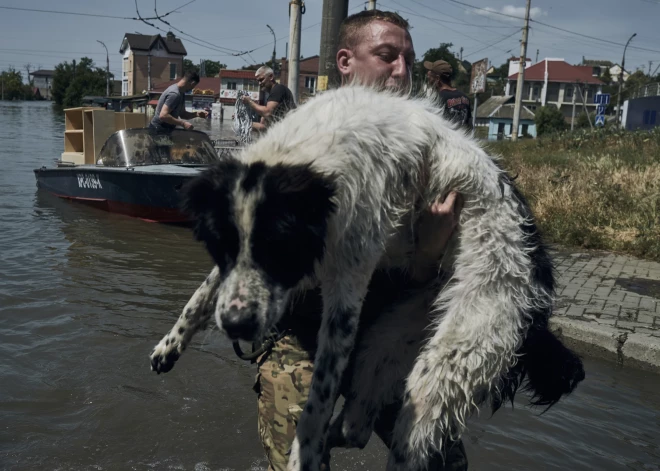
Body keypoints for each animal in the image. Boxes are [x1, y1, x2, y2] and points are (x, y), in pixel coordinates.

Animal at [150, 86, 584, 470]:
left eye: (279, 249)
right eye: (220, 246)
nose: (237, 325)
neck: (308, 155)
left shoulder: (347, 285)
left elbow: (318, 398)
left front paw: (303, 453)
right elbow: (203, 293)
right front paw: (170, 345)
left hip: (454, 358)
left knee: (406, 441)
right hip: (385, 343)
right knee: (357, 426)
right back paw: (332, 436)